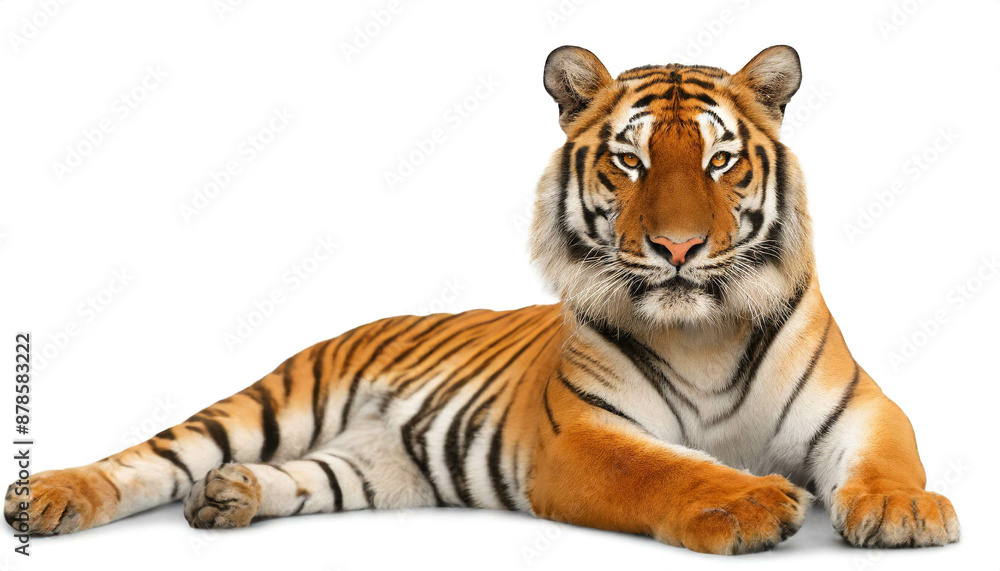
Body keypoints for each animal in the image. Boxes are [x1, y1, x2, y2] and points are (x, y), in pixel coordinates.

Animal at [5, 45, 959, 555]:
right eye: (631, 161)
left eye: (721, 161)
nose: (680, 248)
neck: (703, 331)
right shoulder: (581, 435)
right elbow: (669, 466)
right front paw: (755, 503)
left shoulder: (860, 404)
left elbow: (888, 456)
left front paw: (903, 511)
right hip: (272, 400)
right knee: (149, 457)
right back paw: (48, 496)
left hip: (376, 467)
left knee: (298, 475)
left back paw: (228, 496)